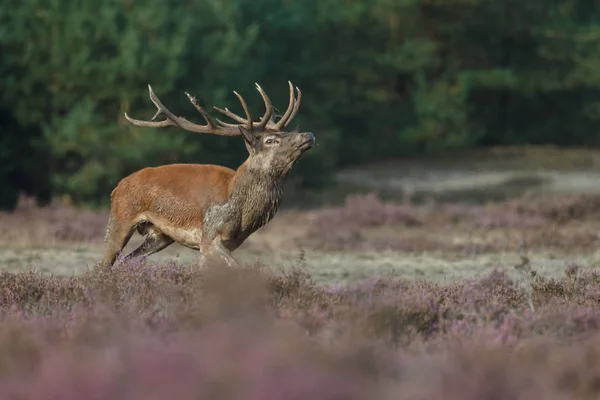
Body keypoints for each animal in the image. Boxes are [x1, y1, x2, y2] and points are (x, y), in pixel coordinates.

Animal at [99, 81, 314, 268]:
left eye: (285, 133)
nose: (308, 134)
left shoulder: (227, 244)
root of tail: (116, 187)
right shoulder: (210, 235)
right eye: (270, 140)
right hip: (120, 218)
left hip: (159, 236)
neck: (243, 215)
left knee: (127, 260)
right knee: (103, 264)